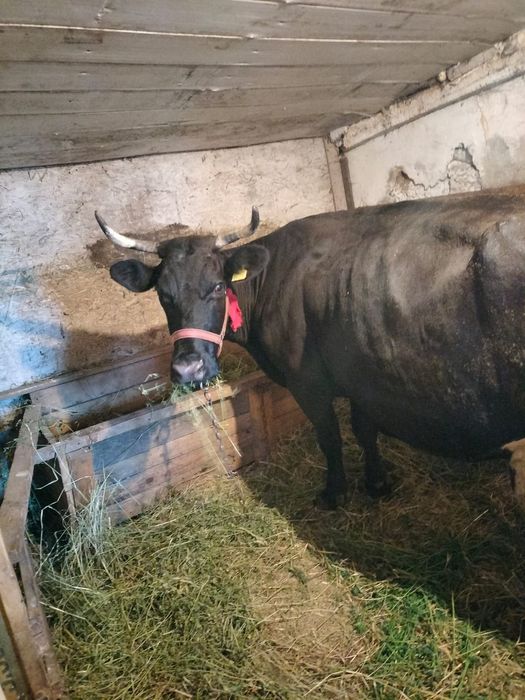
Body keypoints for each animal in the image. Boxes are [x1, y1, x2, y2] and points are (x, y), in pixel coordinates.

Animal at [94, 187, 525, 509]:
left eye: (217, 286)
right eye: (163, 295)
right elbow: (364, 430)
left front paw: (334, 494)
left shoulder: (308, 383)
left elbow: (330, 437)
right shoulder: (360, 375)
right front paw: (377, 484)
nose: (188, 369)